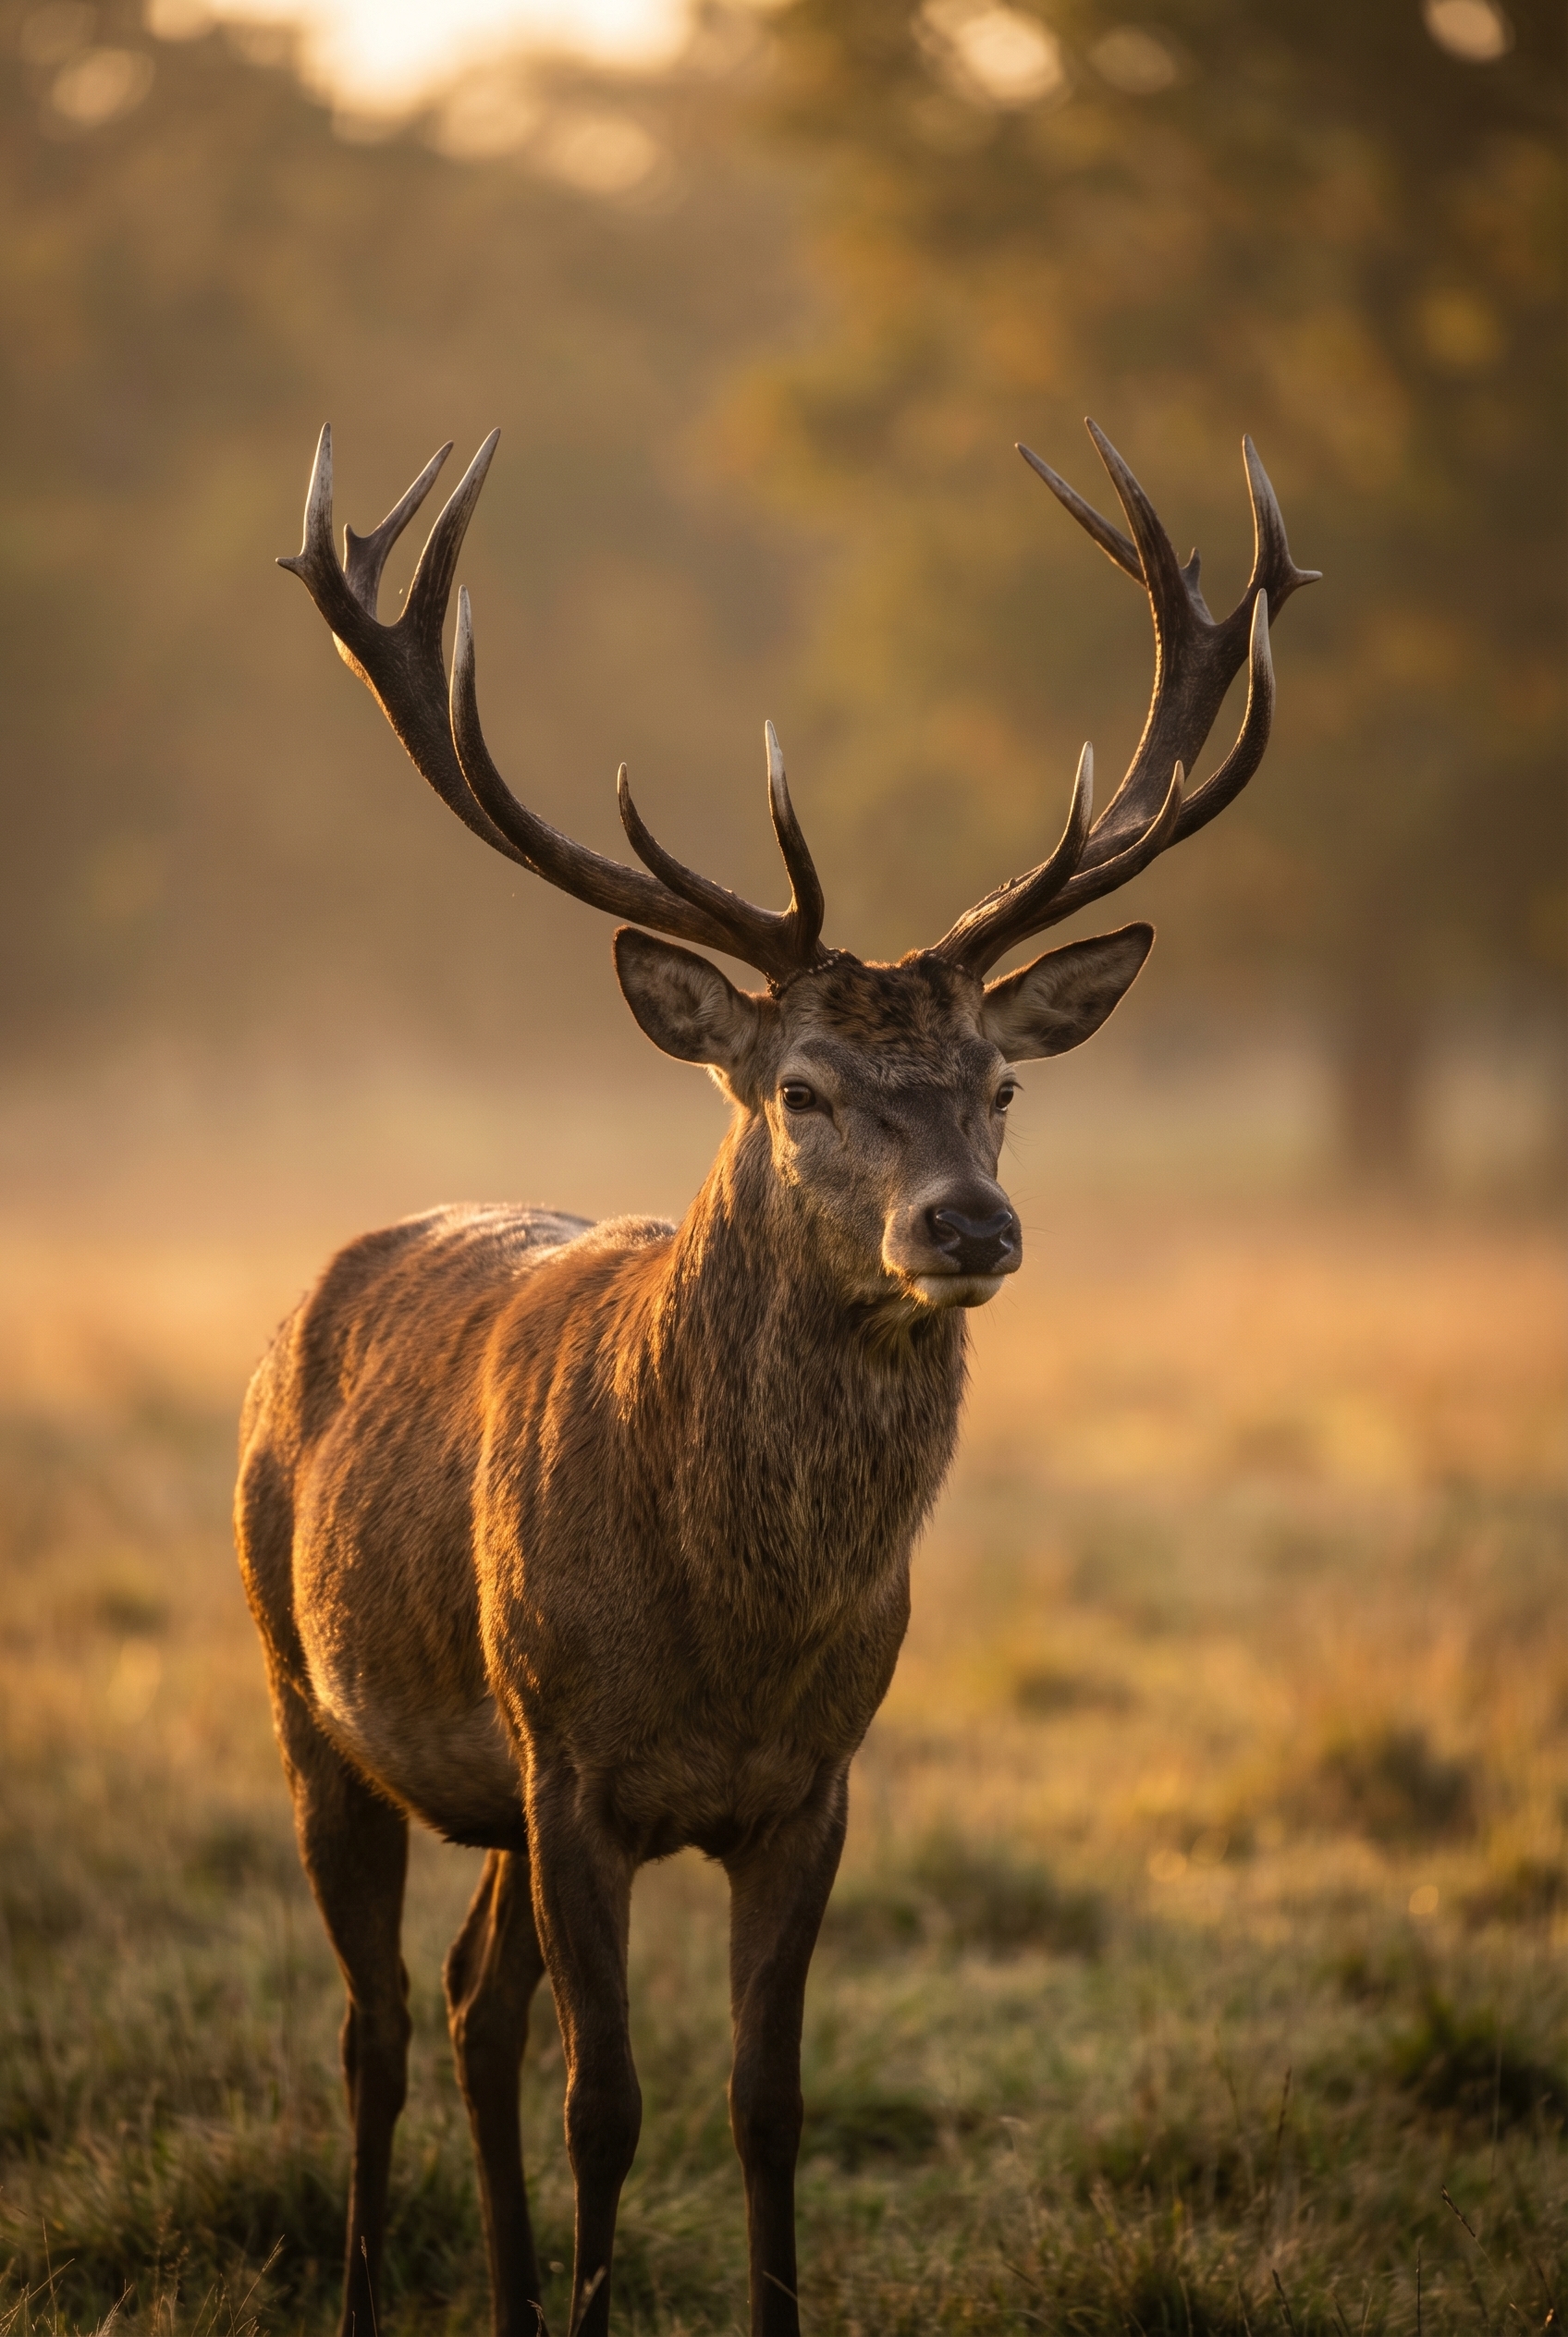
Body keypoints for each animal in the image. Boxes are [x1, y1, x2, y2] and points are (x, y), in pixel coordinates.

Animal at [237, 416, 1315, 2337]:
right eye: (801, 1085)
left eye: (1001, 1083)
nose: (970, 1222)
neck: (731, 1636)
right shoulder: (573, 1763)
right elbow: (608, 2101)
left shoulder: (813, 1785)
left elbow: (764, 2098)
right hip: (307, 1691)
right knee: (378, 2024)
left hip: (482, 1787)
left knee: (472, 2002)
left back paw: (505, 2301)